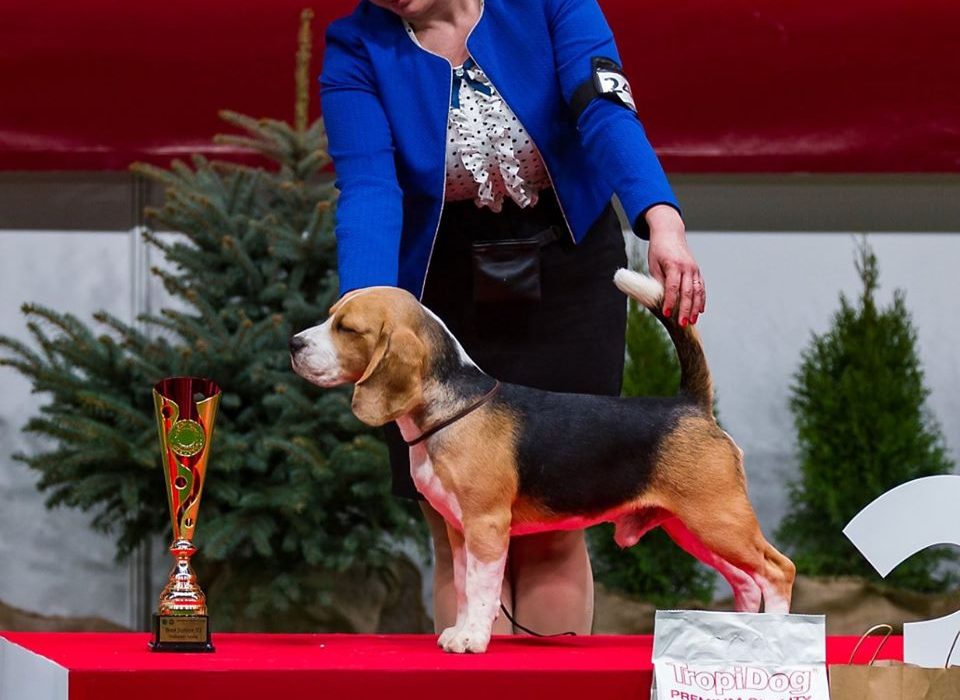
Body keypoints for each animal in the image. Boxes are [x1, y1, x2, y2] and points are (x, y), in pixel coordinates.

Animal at [288, 270, 800, 652]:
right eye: (329, 318)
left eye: (347, 328)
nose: (294, 343)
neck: (454, 405)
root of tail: (691, 405)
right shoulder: (458, 530)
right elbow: (466, 586)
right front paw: (461, 630)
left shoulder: (486, 525)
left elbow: (482, 588)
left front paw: (473, 639)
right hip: (691, 527)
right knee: (747, 580)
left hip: (718, 518)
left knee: (778, 570)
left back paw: (776, 636)